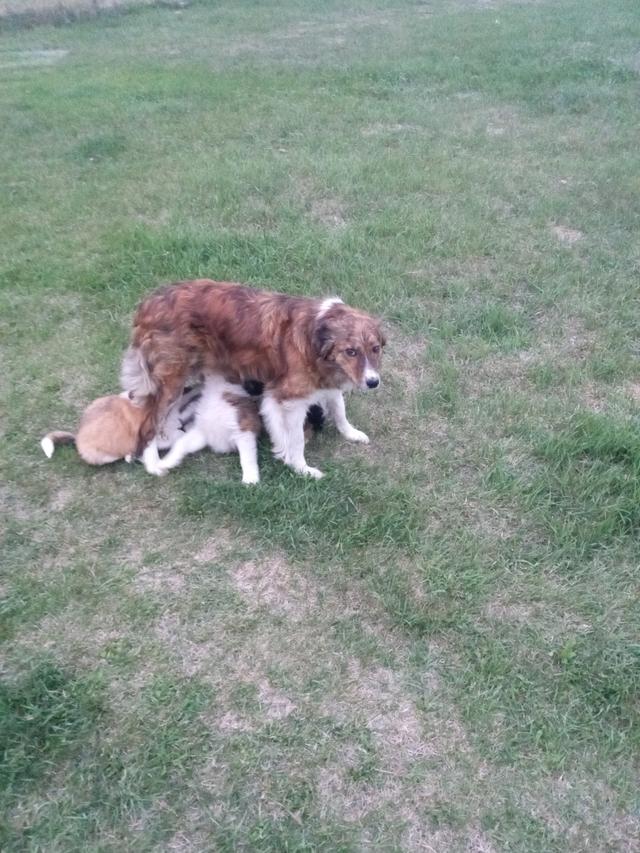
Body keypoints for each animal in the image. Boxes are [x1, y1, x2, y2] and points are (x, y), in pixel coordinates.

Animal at [122, 282, 388, 476]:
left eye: (375, 349)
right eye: (351, 351)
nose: (373, 382)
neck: (315, 335)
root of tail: (147, 304)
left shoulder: (326, 383)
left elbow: (339, 410)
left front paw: (351, 433)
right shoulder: (290, 400)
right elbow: (297, 440)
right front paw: (301, 468)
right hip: (171, 381)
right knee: (148, 422)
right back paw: (154, 463)